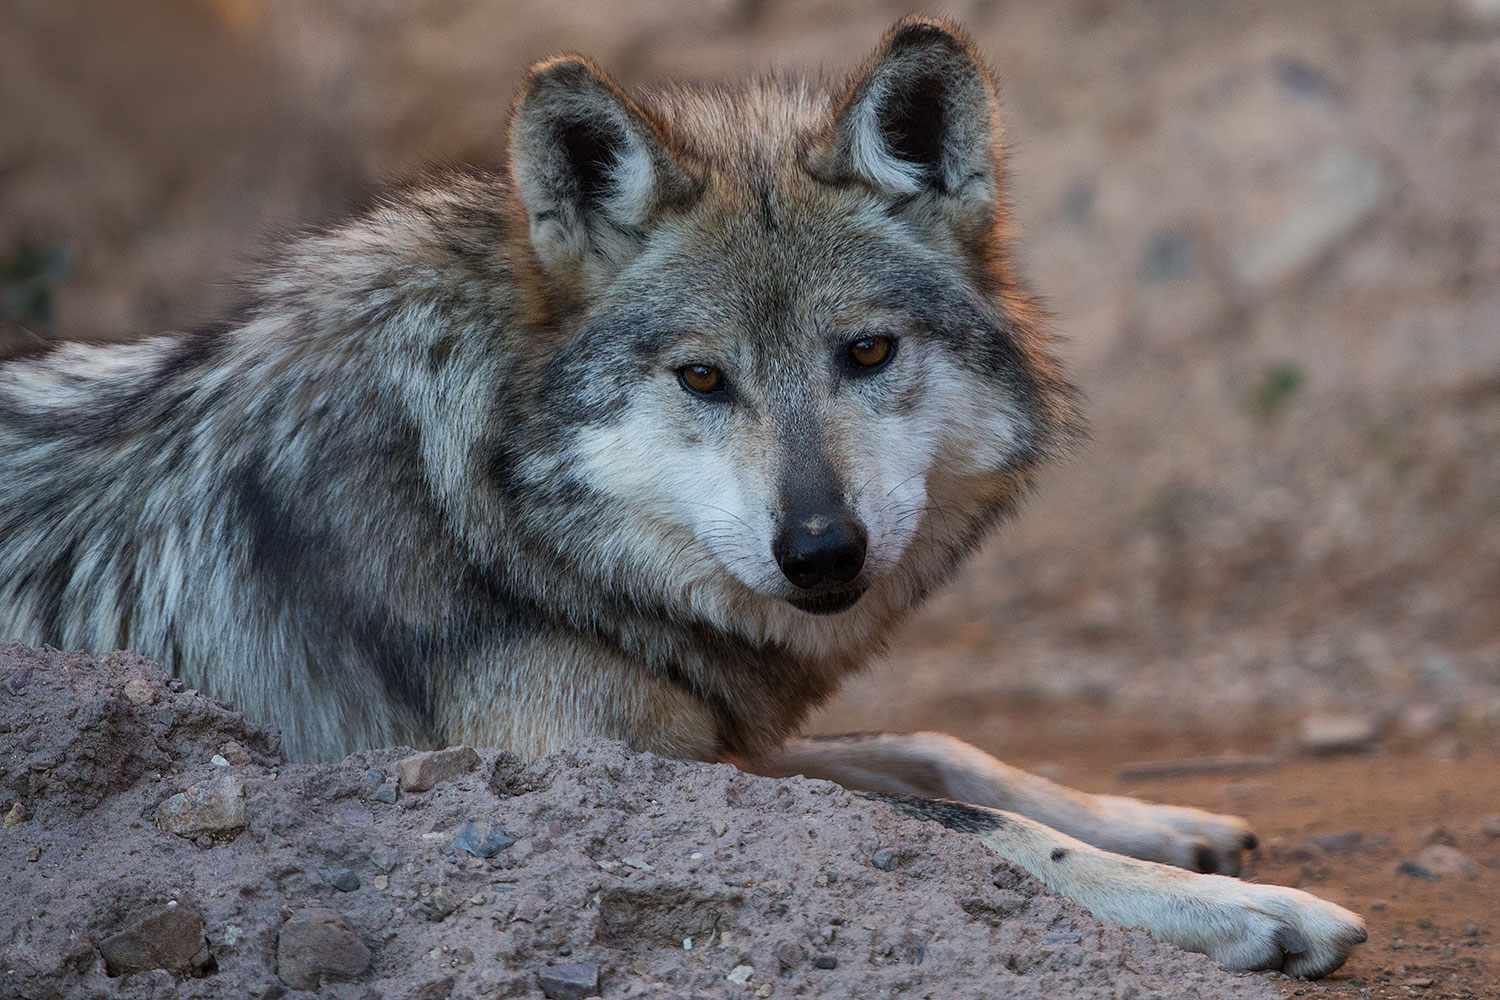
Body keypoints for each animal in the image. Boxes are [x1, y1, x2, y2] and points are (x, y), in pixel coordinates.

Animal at [0, 16, 1366, 977]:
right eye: (703, 377)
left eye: (867, 353)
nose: (821, 550)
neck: (477, 502)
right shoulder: (580, 768)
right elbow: (955, 825)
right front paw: (1246, 908)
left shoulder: (700, 739)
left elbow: (944, 752)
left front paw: (1167, 819)